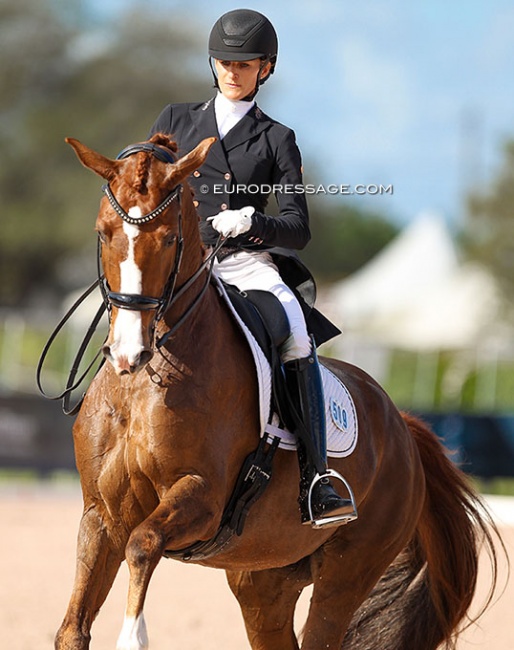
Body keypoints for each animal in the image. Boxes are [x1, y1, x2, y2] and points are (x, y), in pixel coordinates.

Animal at [55, 132, 499, 650]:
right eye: (104, 233)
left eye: (167, 238)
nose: (128, 352)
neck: (144, 384)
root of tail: (403, 427)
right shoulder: (100, 516)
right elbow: (73, 627)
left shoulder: (201, 498)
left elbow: (143, 545)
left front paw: (133, 635)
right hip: (265, 579)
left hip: (347, 571)